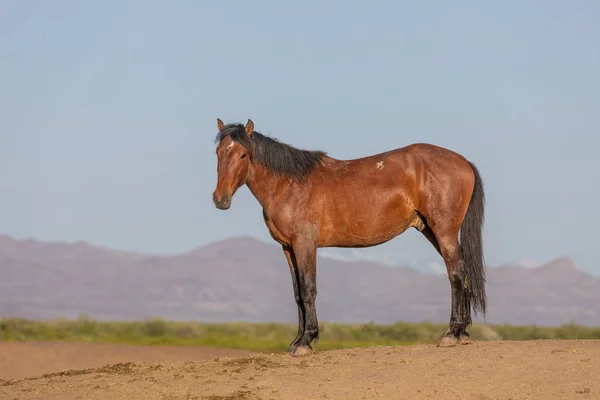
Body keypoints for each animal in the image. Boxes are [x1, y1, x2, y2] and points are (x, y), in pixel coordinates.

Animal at [213, 118, 486, 356]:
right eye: (218, 153)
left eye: (243, 155)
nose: (220, 199)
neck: (289, 185)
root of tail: (463, 162)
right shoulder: (288, 248)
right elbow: (297, 293)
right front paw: (296, 341)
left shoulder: (305, 245)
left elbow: (308, 289)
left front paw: (307, 342)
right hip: (431, 230)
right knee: (462, 271)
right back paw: (463, 333)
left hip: (444, 231)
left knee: (456, 274)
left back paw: (451, 333)